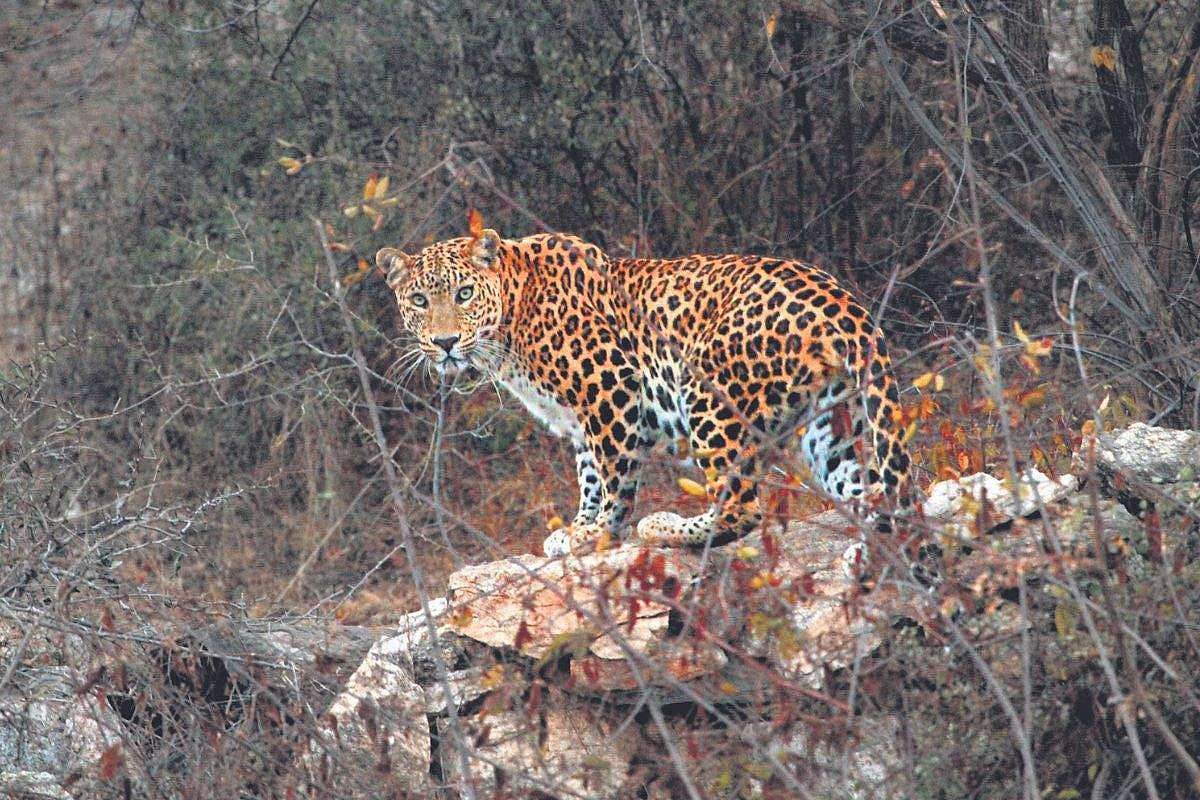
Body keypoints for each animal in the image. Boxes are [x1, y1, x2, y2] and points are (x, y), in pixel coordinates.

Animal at [377, 224, 912, 561]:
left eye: (464, 294)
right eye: (419, 300)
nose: (445, 342)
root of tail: (846, 304)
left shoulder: (609, 387)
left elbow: (614, 475)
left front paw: (598, 533)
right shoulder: (578, 418)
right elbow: (589, 474)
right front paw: (579, 528)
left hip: (706, 393)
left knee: (742, 505)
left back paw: (664, 528)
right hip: (826, 427)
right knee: (876, 492)